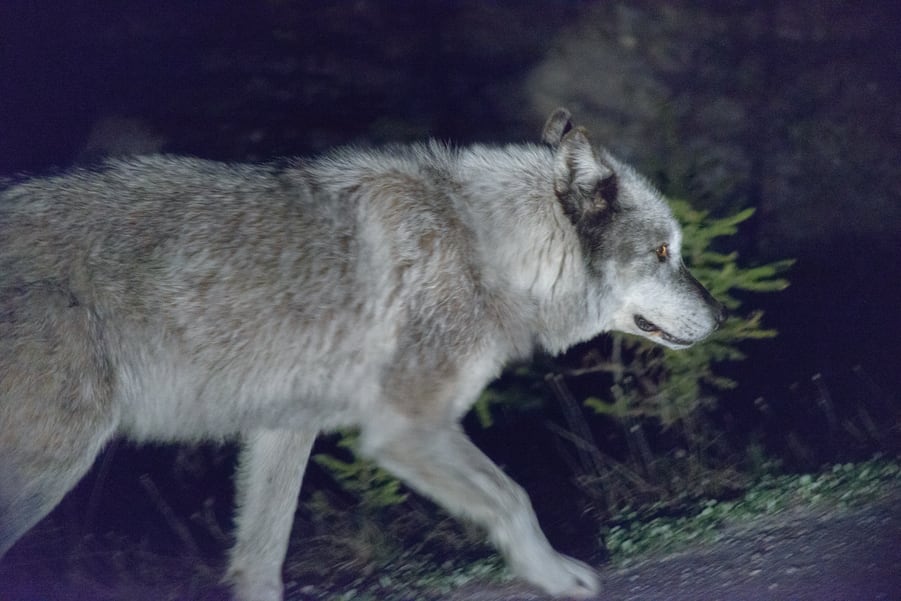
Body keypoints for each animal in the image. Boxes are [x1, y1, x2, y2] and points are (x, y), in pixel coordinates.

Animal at [0, 109, 724, 600]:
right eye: (663, 252)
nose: (721, 316)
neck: (481, 246)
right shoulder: (406, 428)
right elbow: (514, 498)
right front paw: (555, 575)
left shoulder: (285, 430)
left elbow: (260, 560)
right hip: (51, 464)